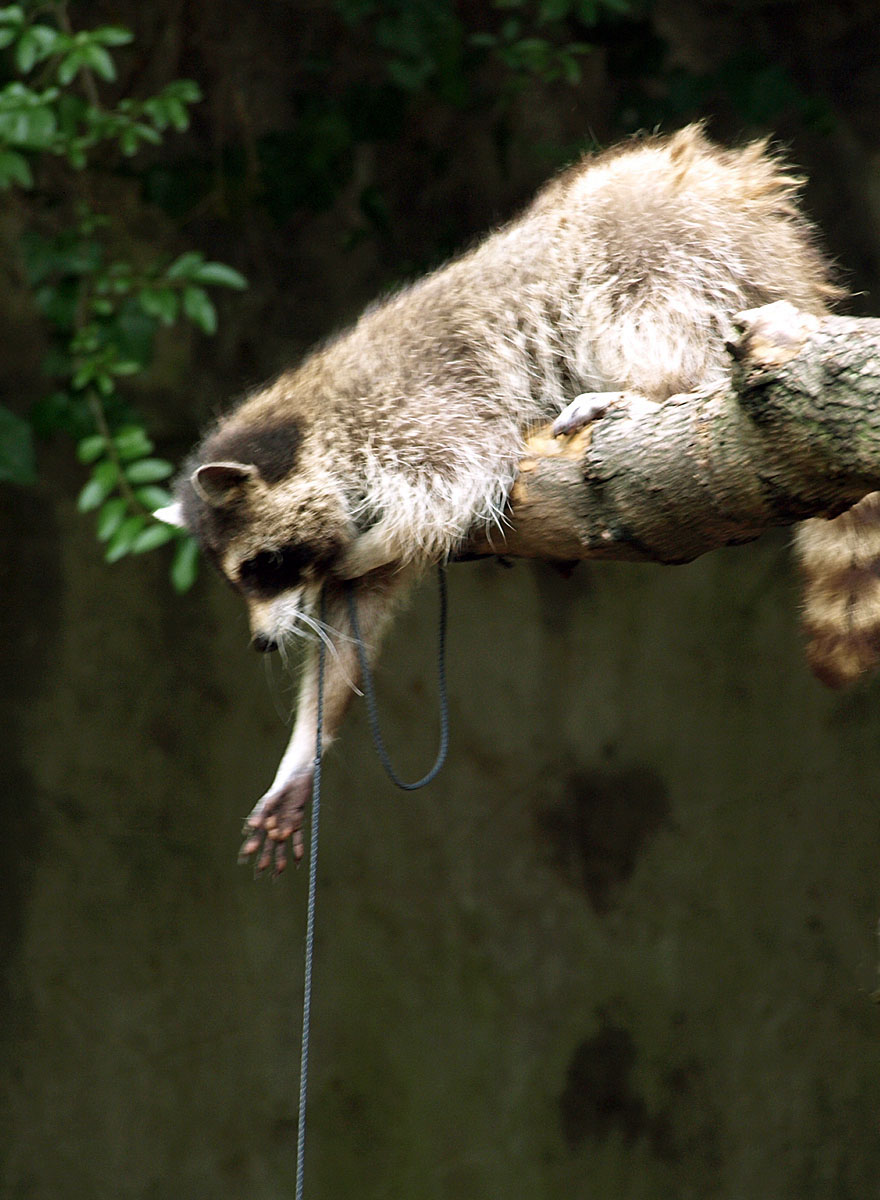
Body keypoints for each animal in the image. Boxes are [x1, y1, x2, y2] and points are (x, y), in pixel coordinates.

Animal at [157, 124, 854, 873]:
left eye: (261, 568)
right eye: (246, 581)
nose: (260, 643)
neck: (312, 424)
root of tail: (790, 264)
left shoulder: (423, 417)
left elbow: (449, 491)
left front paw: (365, 551)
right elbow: (355, 624)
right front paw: (302, 754)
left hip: (680, 256)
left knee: (647, 314)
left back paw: (647, 389)